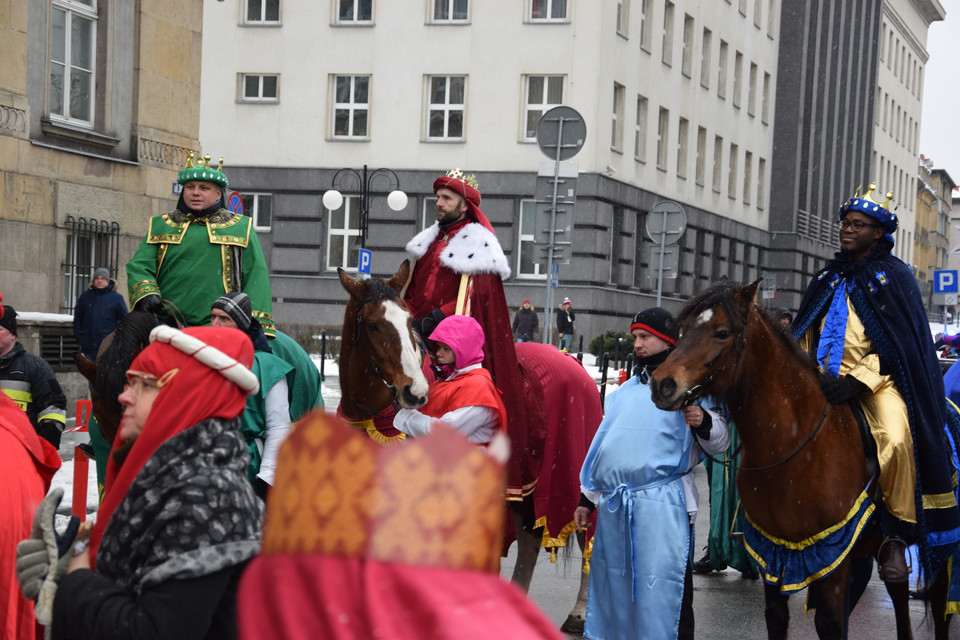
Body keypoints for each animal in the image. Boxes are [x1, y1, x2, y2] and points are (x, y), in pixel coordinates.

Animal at [334, 262, 596, 636]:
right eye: (373, 324)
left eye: (409, 320)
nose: (415, 393)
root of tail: (574, 363)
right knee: (530, 541)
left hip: (572, 481)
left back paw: (578, 613)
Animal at [644, 280, 952, 640]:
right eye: (684, 329)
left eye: (722, 332)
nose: (662, 384)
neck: (792, 445)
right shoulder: (774, 550)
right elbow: (777, 618)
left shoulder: (831, 548)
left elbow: (831, 622)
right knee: (897, 588)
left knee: (938, 602)